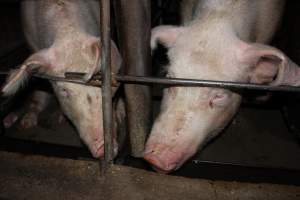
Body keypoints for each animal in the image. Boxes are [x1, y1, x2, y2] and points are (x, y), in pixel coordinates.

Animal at [0, 0, 122, 159]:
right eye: (63, 90)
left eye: (101, 81)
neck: (67, 31)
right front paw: (26, 124)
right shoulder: (32, 44)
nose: (102, 148)